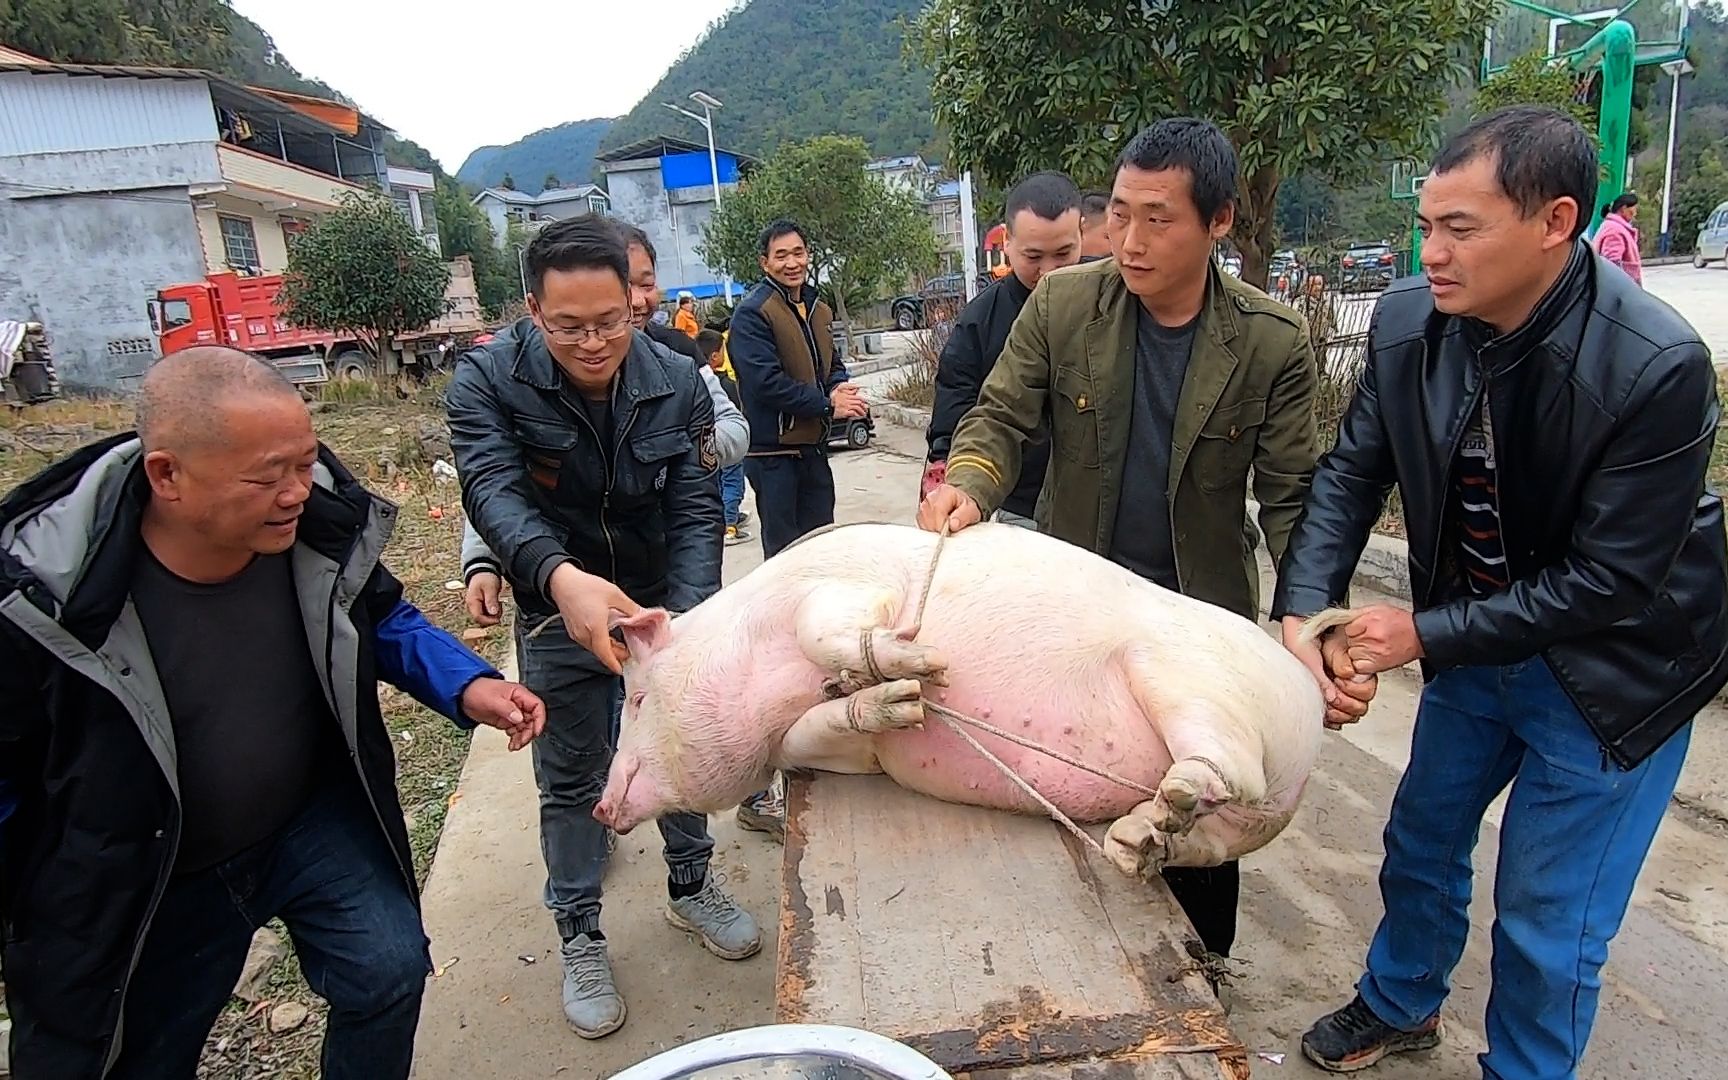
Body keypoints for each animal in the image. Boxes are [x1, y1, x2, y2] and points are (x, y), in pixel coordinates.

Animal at [594, 518, 1320, 881]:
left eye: (637, 699)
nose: (601, 807)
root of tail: (1308, 719)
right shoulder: (831, 752)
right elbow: (815, 729)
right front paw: (898, 702)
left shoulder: (836, 588)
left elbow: (826, 630)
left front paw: (921, 664)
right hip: (1236, 818)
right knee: (1207, 836)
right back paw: (1138, 844)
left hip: (1187, 676)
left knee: (1226, 768)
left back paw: (1163, 808)